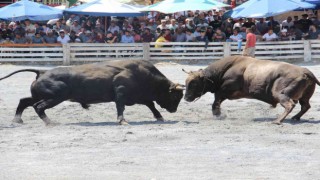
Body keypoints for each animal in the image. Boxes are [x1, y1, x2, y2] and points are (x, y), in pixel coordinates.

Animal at [0, 60, 184, 125]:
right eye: (175, 96)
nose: (174, 110)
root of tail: (42, 72)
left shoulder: (139, 97)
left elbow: (151, 104)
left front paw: (159, 117)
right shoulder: (121, 93)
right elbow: (121, 107)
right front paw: (122, 121)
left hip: (42, 96)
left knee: (24, 101)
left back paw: (17, 120)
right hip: (56, 97)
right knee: (38, 107)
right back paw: (50, 122)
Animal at [182, 55, 320, 124]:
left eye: (194, 83)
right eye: (186, 83)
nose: (186, 97)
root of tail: (305, 71)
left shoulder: (223, 90)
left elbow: (215, 102)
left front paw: (217, 114)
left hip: (281, 93)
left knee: (289, 104)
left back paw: (277, 121)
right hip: (304, 96)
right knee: (305, 106)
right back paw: (295, 117)